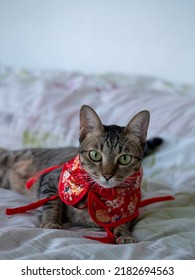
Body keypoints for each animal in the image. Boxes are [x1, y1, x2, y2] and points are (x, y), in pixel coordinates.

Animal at [0, 105, 163, 243]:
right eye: (95, 155)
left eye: (124, 158)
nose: (107, 175)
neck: (103, 195)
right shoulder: (51, 180)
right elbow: (52, 203)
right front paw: (51, 222)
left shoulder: (132, 208)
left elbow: (124, 221)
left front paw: (124, 234)